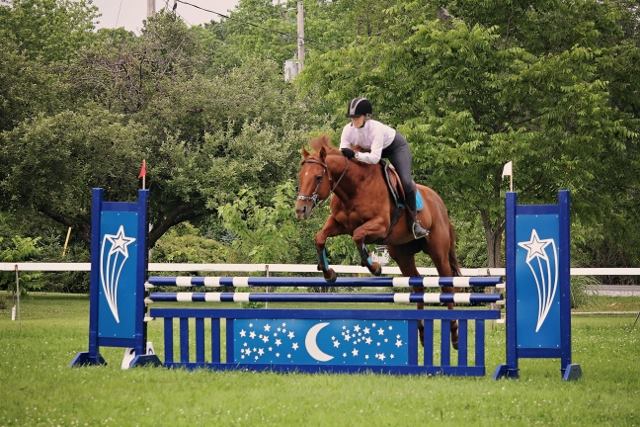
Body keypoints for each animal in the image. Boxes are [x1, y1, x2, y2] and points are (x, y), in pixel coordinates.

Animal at [294, 135, 461, 349]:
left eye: (317, 177)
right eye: (301, 176)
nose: (300, 210)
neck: (354, 187)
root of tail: (439, 203)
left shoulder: (380, 226)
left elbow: (358, 235)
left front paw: (374, 267)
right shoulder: (338, 224)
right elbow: (320, 238)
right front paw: (329, 273)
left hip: (438, 251)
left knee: (447, 285)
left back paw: (455, 334)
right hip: (402, 254)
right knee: (418, 286)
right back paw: (422, 334)